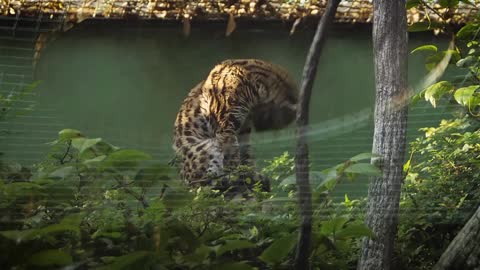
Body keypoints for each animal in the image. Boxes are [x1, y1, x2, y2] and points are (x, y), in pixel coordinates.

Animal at [172, 59, 298, 190]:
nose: (260, 128)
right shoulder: (226, 127)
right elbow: (232, 153)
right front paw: (238, 174)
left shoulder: (243, 128)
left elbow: (244, 153)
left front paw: (249, 173)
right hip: (205, 149)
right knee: (204, 182)